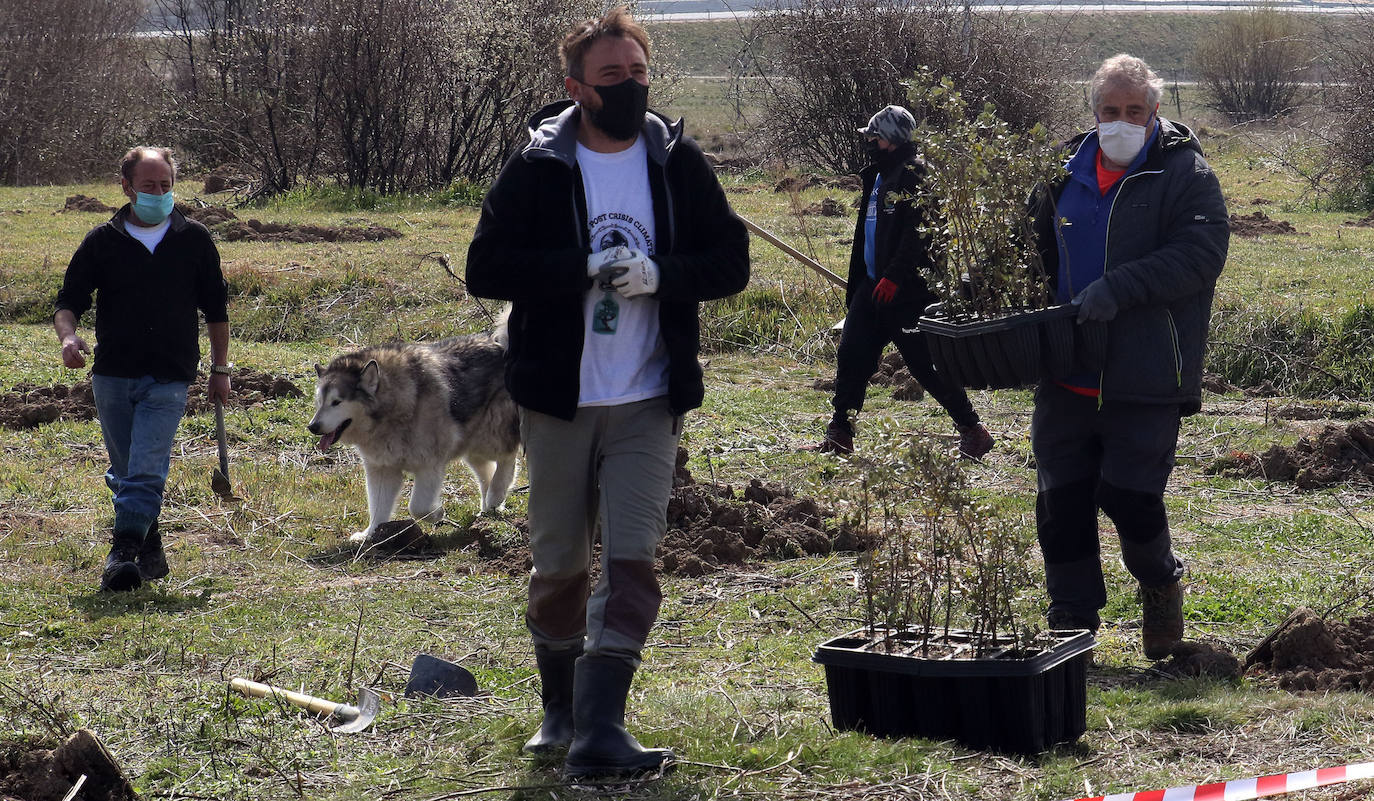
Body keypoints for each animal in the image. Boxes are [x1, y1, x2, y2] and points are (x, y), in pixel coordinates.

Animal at [309, 329, 516, 541]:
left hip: (489, 436)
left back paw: (496, 495)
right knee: (486, 472)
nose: (313, 427)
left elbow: (417, 507)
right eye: (320, 402)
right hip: (472, 447)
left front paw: (437, 513)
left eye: (336, 402)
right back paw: (489, 508)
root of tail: (497, 341)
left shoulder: (429, 465)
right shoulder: (382, 469)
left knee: (507, 459)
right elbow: (377, 508)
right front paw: (370, 533)